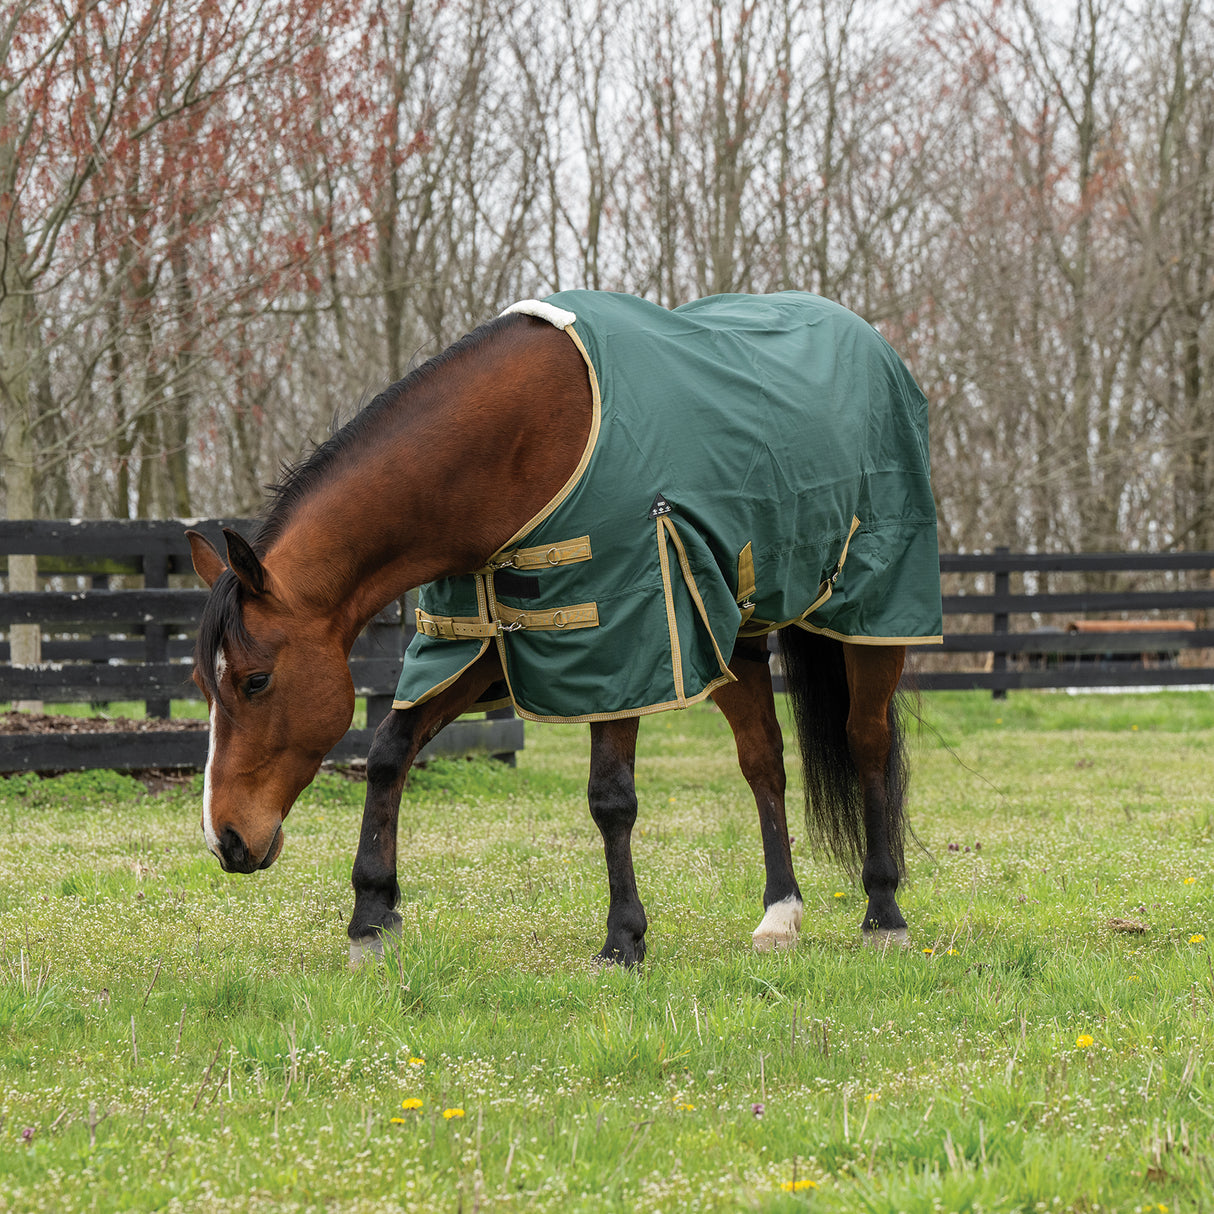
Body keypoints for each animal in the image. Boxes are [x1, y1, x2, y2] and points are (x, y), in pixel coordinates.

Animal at [188, 290, 942, 966]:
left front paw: (623, 939)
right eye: (203, 685)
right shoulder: (482, 641)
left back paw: (884, 913)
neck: (514, 449)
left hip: (871, 621)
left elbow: (611, 798)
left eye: (256, 681)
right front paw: (372, 919)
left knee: (867, 744)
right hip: (735, 633)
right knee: (764, 762)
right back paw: (781, 915)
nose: (226, 840)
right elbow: (387, 753)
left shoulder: (623, 645)